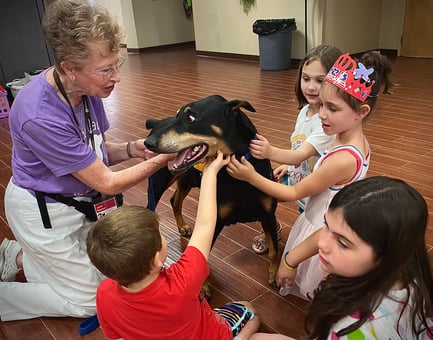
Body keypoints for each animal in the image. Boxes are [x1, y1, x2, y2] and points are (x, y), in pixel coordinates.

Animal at [143, 94, 278, 290]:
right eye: (177, 115)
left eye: (191, 118)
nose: (149, 143)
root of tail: (157, 122)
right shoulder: (215, 219)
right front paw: (203, 287)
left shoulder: (268, 214)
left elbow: (275, 251)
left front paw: (275, 275)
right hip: (158, 180)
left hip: (187, 178)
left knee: (175, 200)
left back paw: (182, 226)